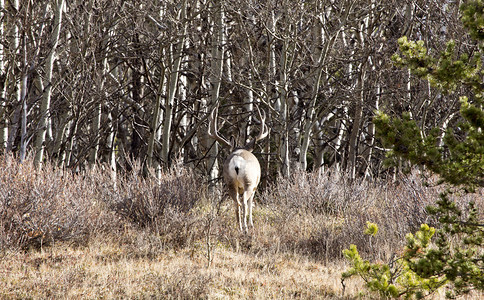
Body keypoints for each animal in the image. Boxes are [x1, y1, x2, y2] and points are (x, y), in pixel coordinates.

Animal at [207, 104, 270, 233]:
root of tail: (237, 161)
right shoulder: (255, 186)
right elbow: (251, 204)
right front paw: (251, 224)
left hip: (230, 181)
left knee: (236, 203)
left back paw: (239, 227)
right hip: (248, 181)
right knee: (244, 202)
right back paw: (245, 228)